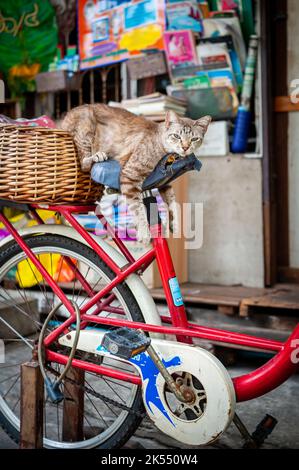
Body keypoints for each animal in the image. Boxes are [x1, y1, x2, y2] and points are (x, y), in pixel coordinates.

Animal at [60, 104, 211, 244]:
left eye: (194, 139)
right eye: (176, 136)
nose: (185, 147)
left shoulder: (164, 182)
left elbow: (172, 201)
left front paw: (175, 223)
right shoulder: (131, 176)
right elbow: (138, 208)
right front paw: (144, 233)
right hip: (86, 126)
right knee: (84, 163)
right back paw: (98, 156)